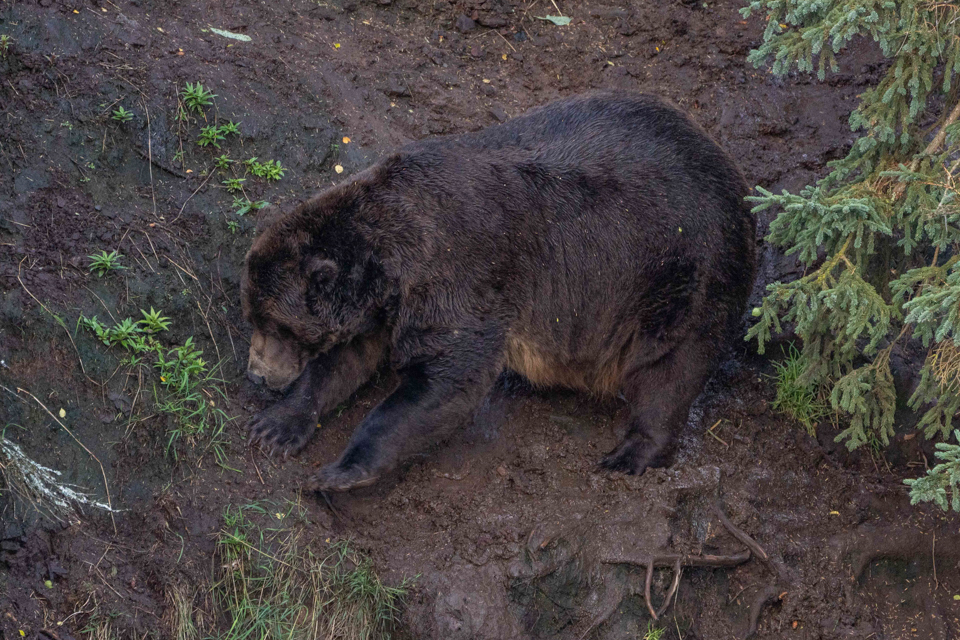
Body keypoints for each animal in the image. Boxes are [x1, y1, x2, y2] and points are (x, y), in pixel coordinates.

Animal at [242, 92, 757, 492]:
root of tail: (733, 171)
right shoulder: (384, 308)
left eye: (279, 326)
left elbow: (443, 379)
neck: (391, 260)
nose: (257, 373)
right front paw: (275, 426)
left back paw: (630, 453)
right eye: (255, 317)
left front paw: (340, 472)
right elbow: (344, 361)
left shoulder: (458, 275)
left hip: (679, 271)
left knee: (670, 368)